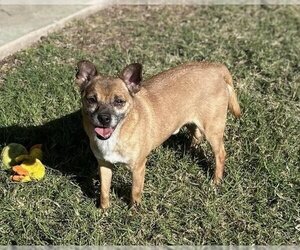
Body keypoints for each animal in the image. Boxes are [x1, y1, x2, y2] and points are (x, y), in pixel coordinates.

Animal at [75, 60, 241, 209]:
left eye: (119, 101)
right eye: (91, 100)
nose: (104, 118)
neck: (117, 133)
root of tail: (216, 67)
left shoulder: (138, 168)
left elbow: (135, 192)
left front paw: (133, 213)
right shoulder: (104, 165)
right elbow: (104, 191)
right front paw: (104, 211)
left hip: (213, 131)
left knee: (220, 154)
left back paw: (216, 181)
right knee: (196, 134)